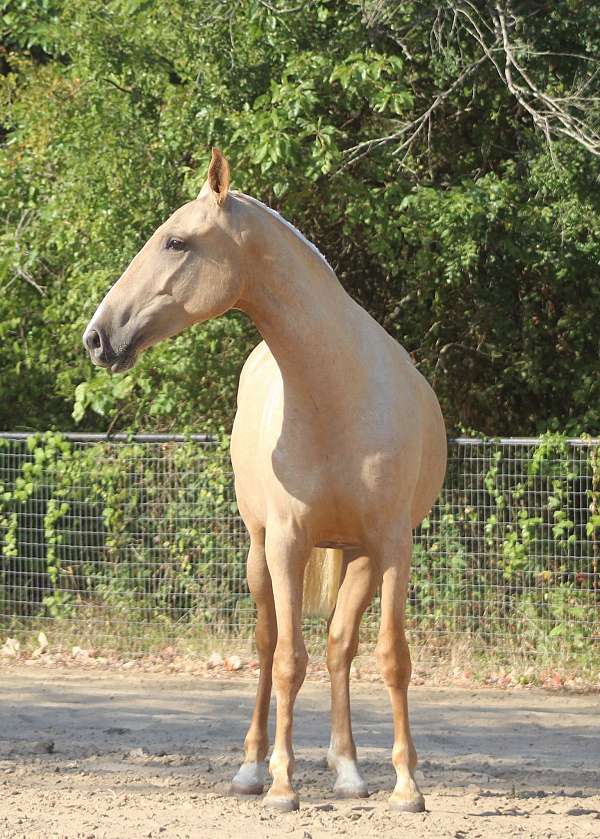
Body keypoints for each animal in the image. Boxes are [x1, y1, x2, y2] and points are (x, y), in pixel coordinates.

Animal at [85, 149, 450, 812]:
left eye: (176, 241)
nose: (97, 337)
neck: (336, 392)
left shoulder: (393, 544)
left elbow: (391, 656)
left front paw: (407, 786)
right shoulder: (285, 543)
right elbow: (285, 660)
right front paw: (280, 784)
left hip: (357, 555)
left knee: (339, 646)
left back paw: (348, 769)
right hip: (259, 552)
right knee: (266, 641)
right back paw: (252, 767)